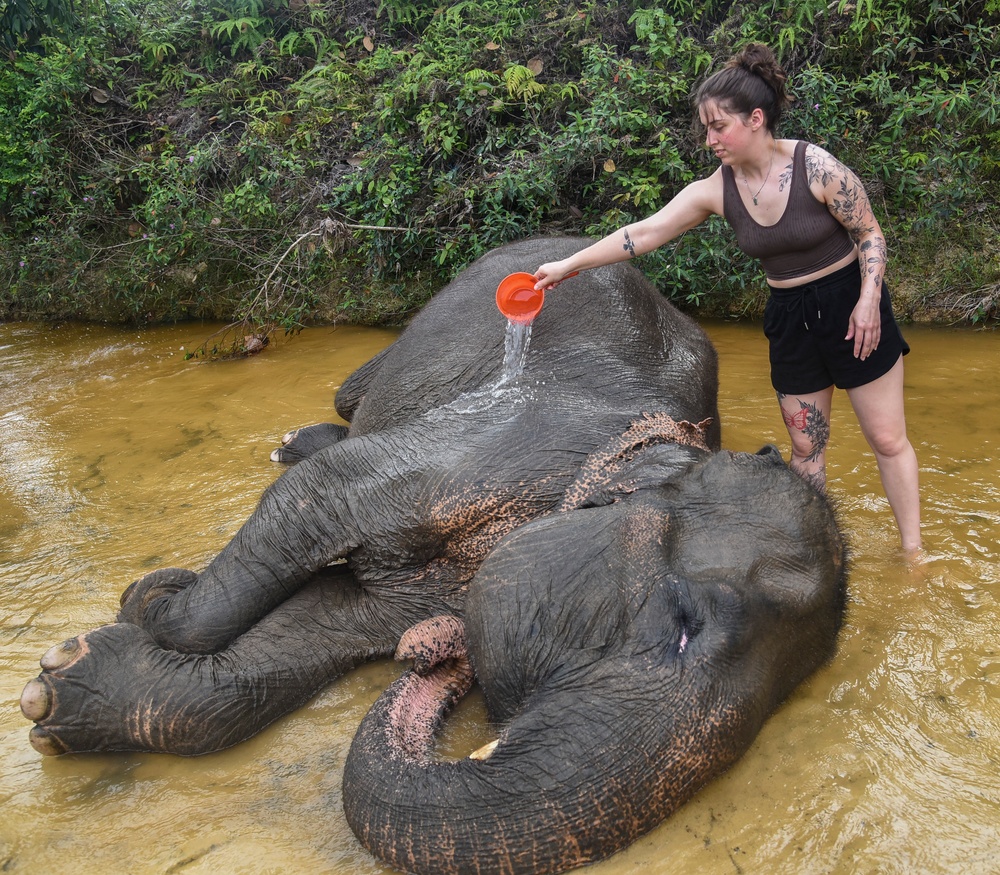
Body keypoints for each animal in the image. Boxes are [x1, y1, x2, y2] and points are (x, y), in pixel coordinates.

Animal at [17, 236, 844, 875]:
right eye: (681, 620)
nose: (431, 653)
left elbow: (329, 620)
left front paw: (58, 687)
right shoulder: (487, 449)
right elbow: (318, 493)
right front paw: (149, 599)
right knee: (345, 409)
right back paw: (293, 442)